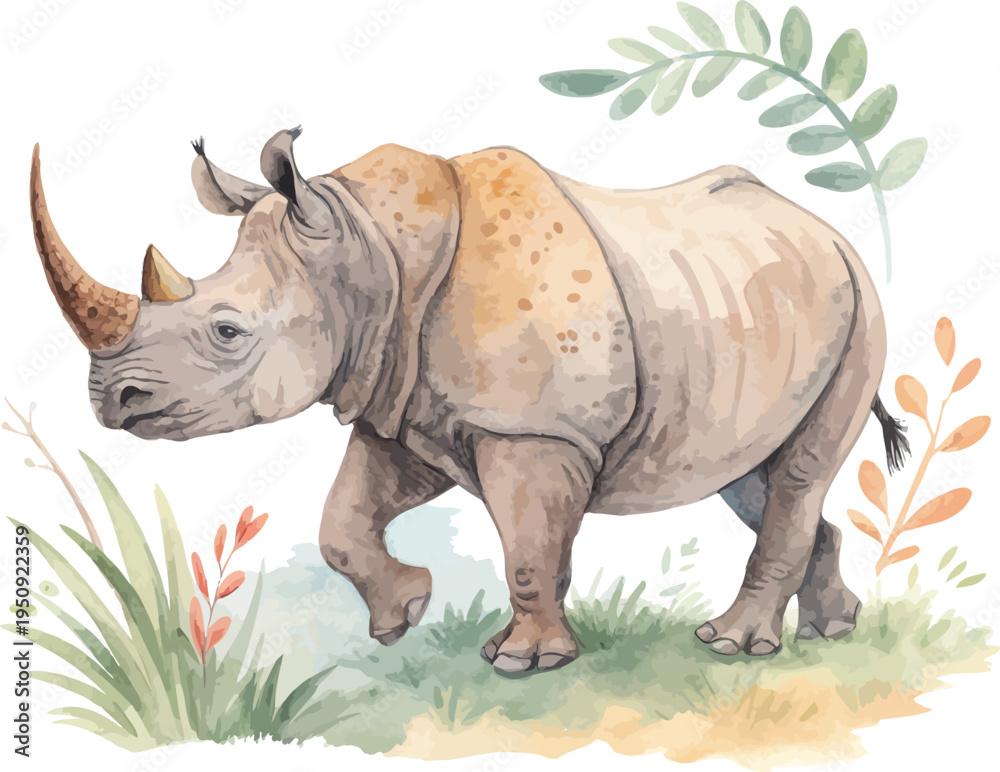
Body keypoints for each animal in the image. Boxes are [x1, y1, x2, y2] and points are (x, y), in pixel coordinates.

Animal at [29, 128, 908, 674]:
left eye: (226, 331)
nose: (110, 400)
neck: (370, 249)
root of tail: (827, 230)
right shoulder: (405, 404)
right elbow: (345, 518)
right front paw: (404, 617)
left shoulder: (532, 428)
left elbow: (526, 547)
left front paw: (523, 662)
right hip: (756, 312)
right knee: (750, 477)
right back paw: (830, 629)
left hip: (860, 303)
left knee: (796, 472)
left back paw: (730, 647)